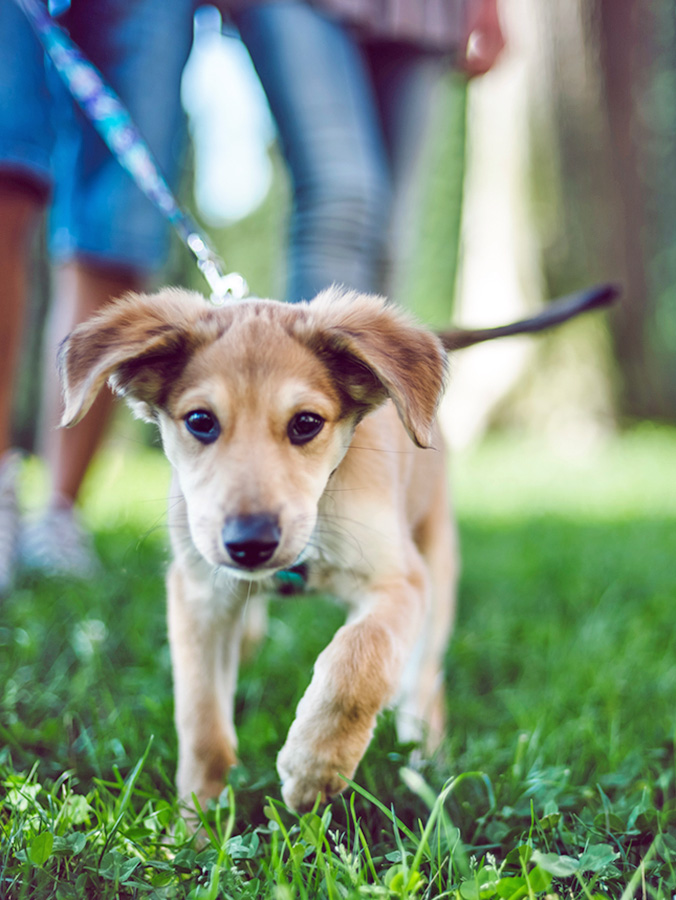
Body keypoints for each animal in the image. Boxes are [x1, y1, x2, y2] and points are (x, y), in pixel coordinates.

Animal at [58, 284, 616, 812]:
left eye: (306, 423)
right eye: (200, 421)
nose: (250, 544)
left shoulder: (400, 580)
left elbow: (358, 662)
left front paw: (315, 768)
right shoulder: (200, 593)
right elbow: (203, 726)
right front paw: (197, 826)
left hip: (437, 567)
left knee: (423, 682)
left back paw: (424, 763)